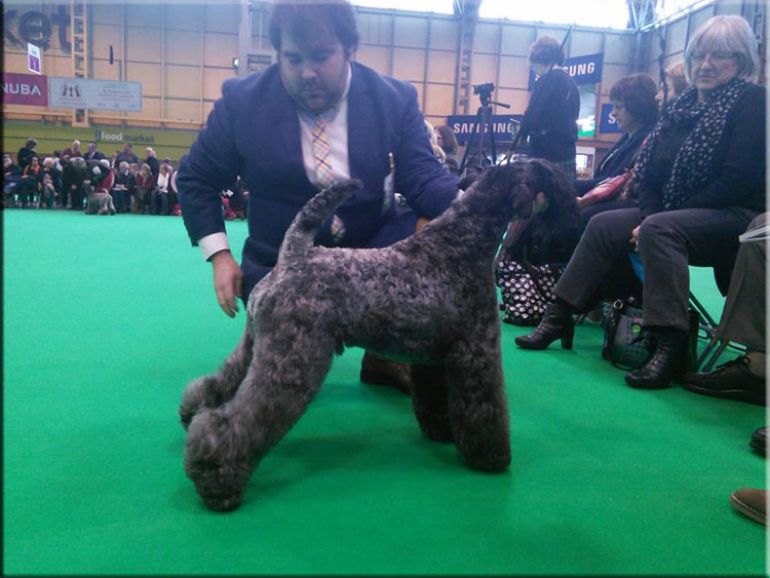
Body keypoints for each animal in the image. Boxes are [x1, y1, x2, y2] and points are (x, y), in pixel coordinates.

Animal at [182, 158, 576, 508]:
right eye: (546, 173)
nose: (573, 201)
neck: (459, 247)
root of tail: (291, 257)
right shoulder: (477, 351)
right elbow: (486, 407)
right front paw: (491, 457)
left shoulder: (435, 357)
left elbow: (436, 398)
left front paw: (441, 432)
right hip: (292, 357)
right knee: (237, 420)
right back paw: (217, 479)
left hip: (257, 344)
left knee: (218, 383)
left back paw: (190, 417)